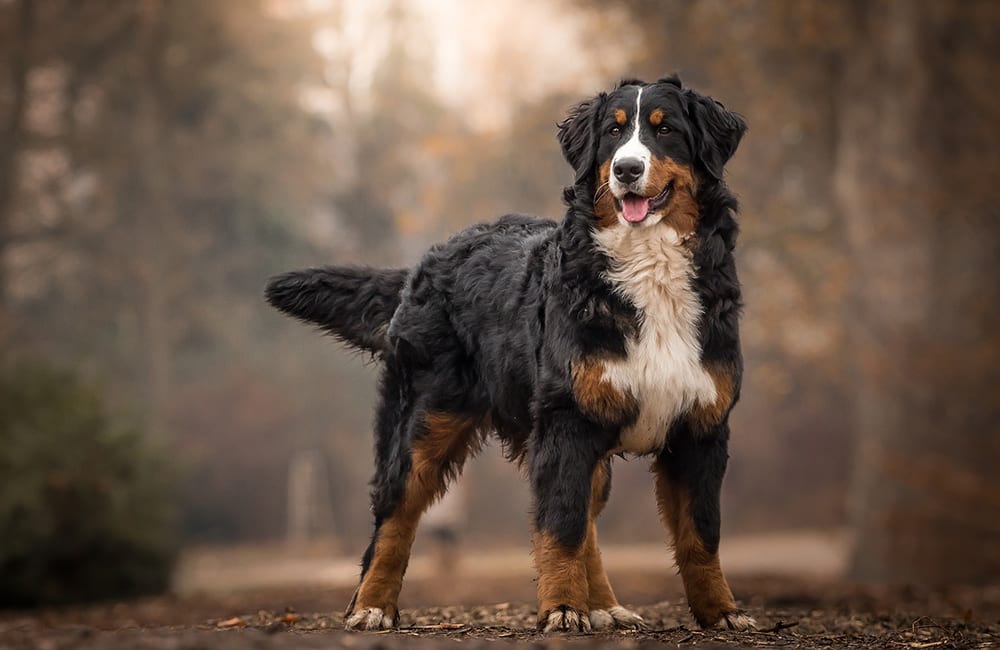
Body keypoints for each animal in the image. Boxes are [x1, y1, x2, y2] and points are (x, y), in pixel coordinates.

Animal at [266, 73, 752, 632]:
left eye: (665, 129)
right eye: (612, 133)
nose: (627, 169)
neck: (648, 269)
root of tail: (427, 262)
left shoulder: (700, 426)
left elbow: (701, 534)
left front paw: (722, 612)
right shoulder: (566, 422)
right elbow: (559, 527)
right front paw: (561, 609)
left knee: (586, 521)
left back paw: (604, 605)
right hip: (423, 423)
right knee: (394, 518)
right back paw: (371, 605)